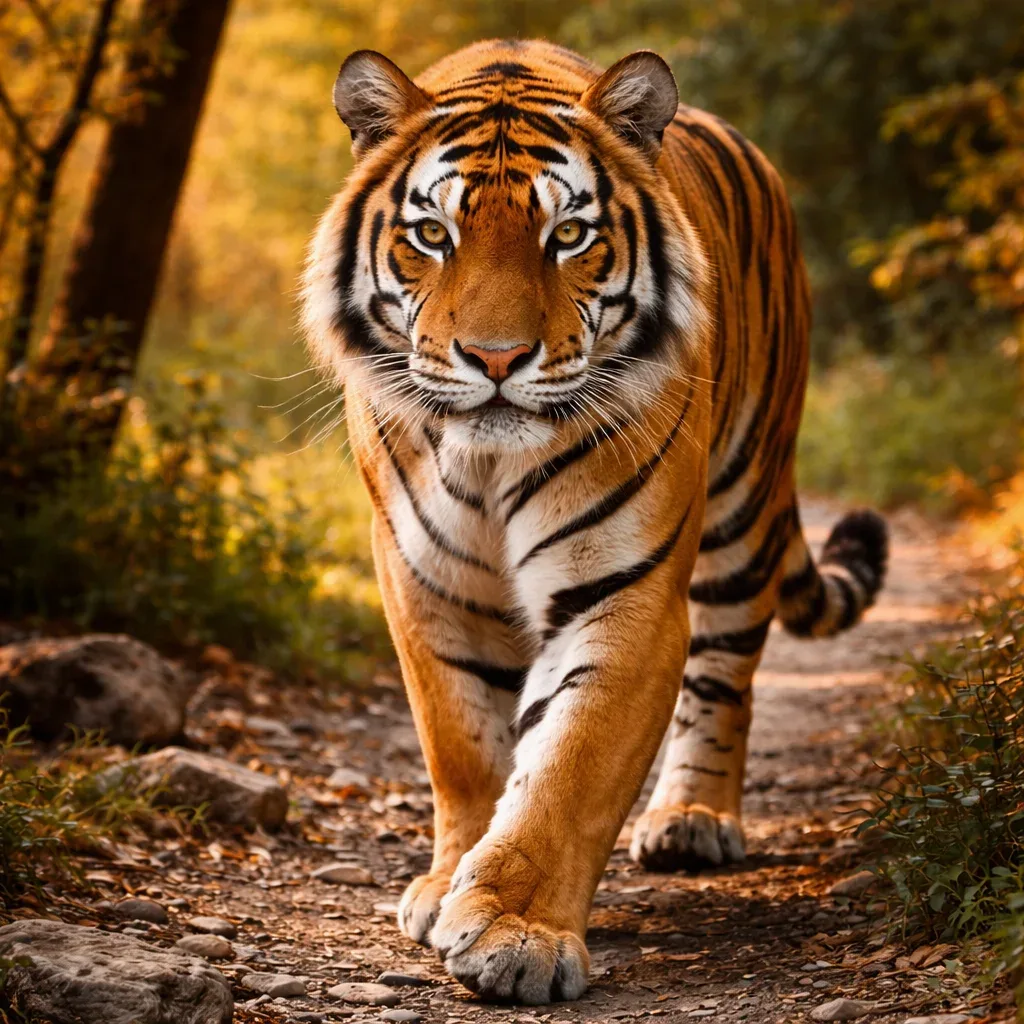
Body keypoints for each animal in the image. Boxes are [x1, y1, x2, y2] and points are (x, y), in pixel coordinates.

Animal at [300, 39, 888, 1005]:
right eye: (434, 235)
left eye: (568, 235)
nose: (496, 357)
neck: (486, 463)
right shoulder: (425, 586)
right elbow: (464, 748)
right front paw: (451, 881)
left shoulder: (626, 594)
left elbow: (569, 769)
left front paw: (518, 934)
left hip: (743, 509)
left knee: (726, 678)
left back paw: (691, 819)